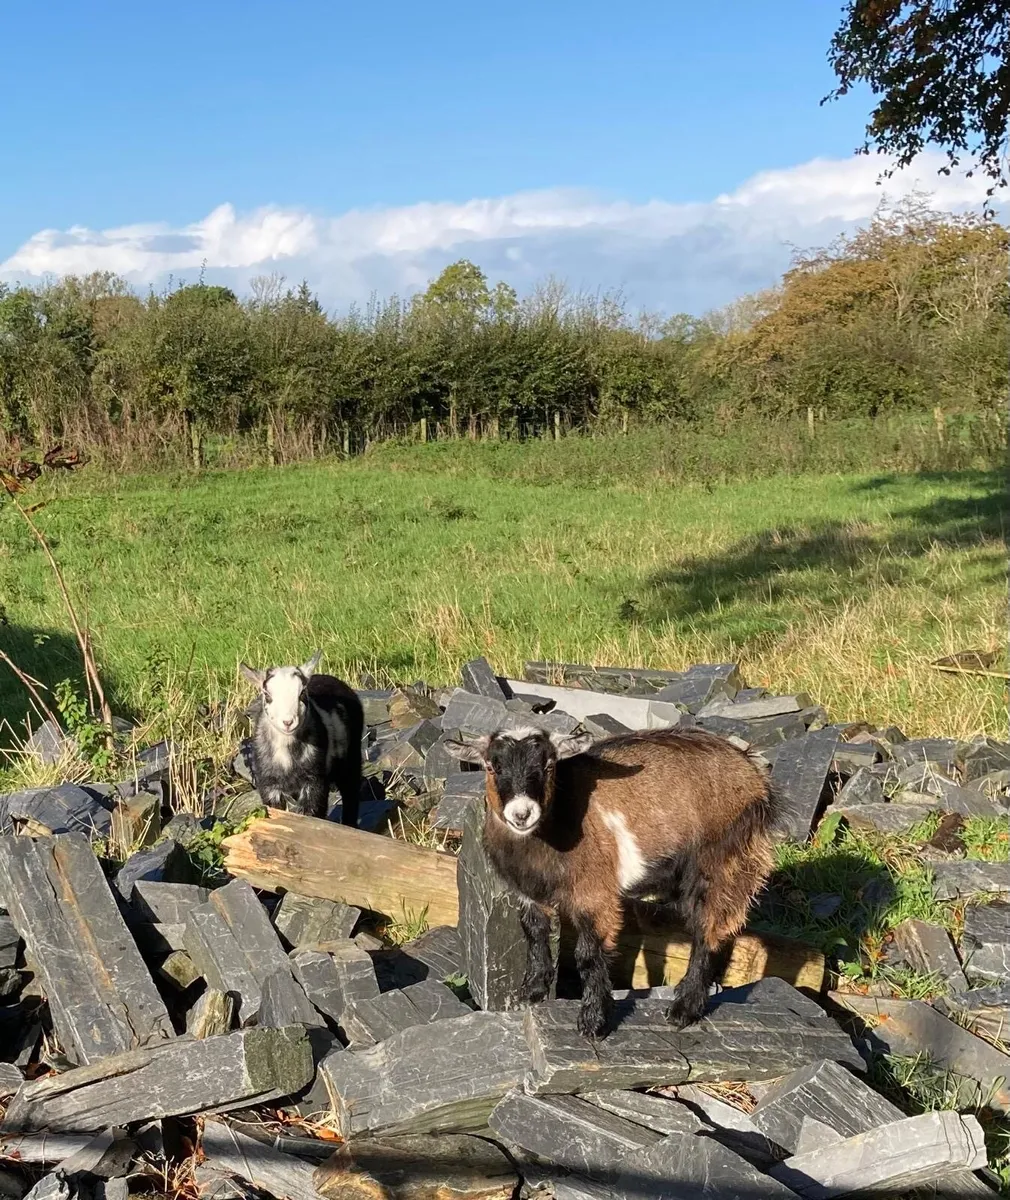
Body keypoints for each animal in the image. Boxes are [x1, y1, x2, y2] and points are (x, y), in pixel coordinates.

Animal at [239, 651, 364, 826]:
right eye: (267, 695)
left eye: (302, 693)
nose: (288, 722)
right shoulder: (268, 784)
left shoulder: (314, 781)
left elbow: (312, 814)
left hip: (351, 753)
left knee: (350, 790)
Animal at [444, 725, 776, 1039]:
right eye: (492, 767)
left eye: (549, 765)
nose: (522, 813)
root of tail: (753, 772)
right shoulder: (529, 892)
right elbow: (534, 932)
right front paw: (533, 990)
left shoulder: (595, 892)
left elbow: (588, 955)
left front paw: (593, 1022)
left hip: (723, 860)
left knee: (708, 929)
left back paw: (683, 1009)